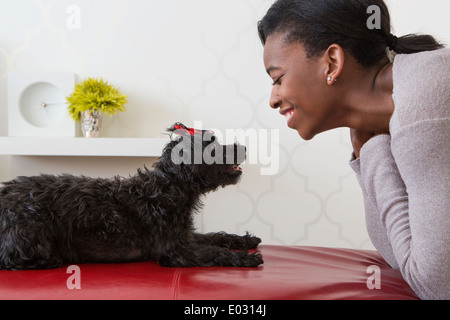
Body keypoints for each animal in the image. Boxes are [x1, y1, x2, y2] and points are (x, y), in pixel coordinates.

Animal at [0, 122, 262, 270]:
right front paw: (246, 259)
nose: (244, 147)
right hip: (32, 235)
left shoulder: (185, 236)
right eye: (211, 147)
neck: (168, 188)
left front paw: (245, 241)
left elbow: (216, 236)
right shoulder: (176, 251)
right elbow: (215, 252)